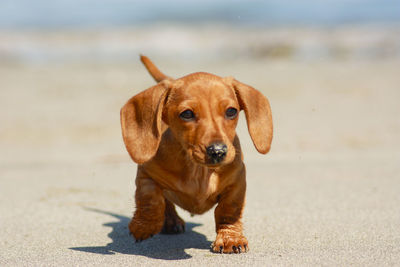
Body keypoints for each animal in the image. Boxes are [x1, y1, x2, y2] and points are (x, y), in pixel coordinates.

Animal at [120, 56, 274, 253]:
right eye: (187, 114)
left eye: (231, 111)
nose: (218, 151)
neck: (198, 171)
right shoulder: (146, 174)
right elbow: (150, 199)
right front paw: (144, 226)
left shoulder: (238, 181)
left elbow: (229, 209)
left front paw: (231, 238)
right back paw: (170, 220)